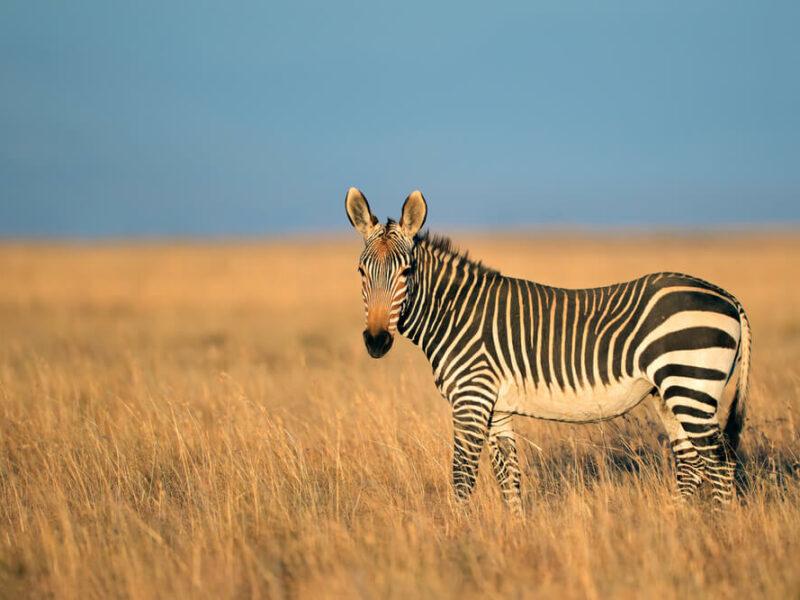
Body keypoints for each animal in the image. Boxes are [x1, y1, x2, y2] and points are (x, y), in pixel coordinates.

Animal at [345, 187, 751, 513]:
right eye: (361, 272)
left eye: (407, 271)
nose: (377, 341)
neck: (455, 314)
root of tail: (727, 295)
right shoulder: (497, 409)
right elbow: (509, 478)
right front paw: (514, 535)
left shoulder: (471, 400)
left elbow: (462, 478)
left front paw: (457, 537)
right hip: (669, 394)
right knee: (692, 462)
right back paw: (679, 524)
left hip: (691, 385)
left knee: (719, 462)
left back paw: (718, 528)